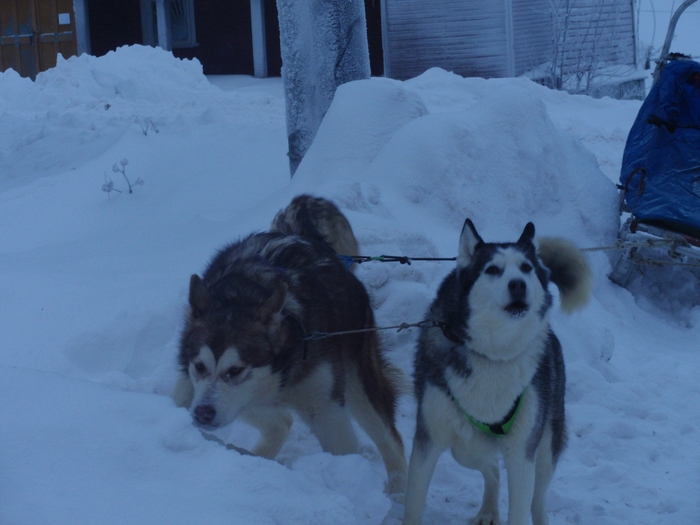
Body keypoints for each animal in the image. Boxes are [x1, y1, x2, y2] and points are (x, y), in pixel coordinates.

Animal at [172, 198, 408, 496]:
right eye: (200, 366)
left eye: (235, 370)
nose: (203, 414)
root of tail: (307, 238)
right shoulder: (192, 384)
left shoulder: (325, 410)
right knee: (281, 422)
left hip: (360, 378)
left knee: (390, 439)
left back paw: (400, 493)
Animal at [404, 219, 592, 520]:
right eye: (492, 270)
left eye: (526, 268)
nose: (518, 285)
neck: (494, 354)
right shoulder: (428, 440)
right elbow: (413, 504)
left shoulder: (522, 453)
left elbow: (521, 508)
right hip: (466, 447)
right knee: (490, 466)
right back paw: (488, 511)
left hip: (545, 448)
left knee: (537, 498)